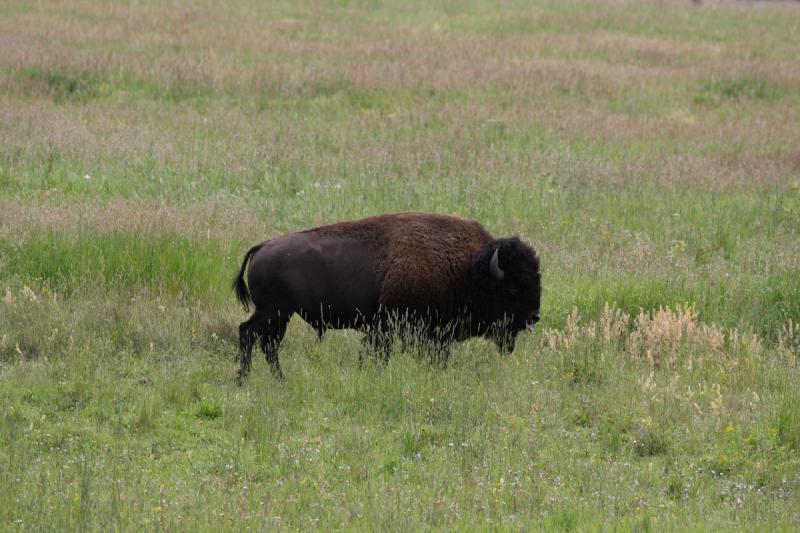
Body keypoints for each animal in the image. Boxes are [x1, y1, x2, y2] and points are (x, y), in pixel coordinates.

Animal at [234, 210, 540, 380]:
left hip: (280, 316)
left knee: (268, 344)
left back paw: (279, 380)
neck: (467, 268)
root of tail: (262, 247)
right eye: (514, 287)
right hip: (273, 312)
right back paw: (244, 380)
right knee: (248, 334)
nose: (534, 317)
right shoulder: (393, 327)